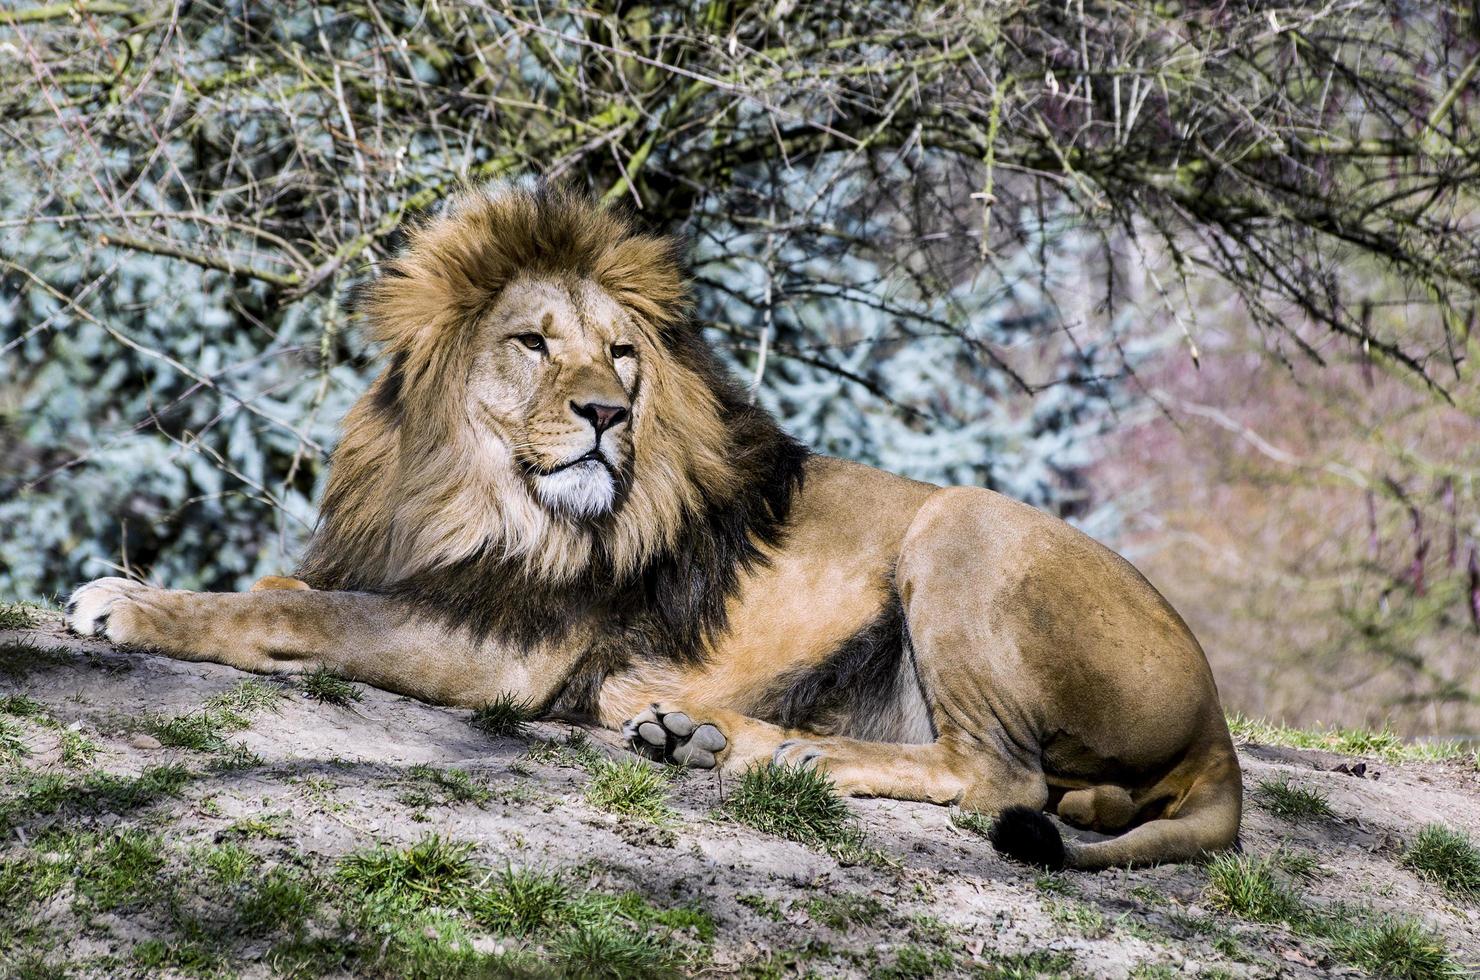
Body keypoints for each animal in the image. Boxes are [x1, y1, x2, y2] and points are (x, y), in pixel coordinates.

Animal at [72, 180, 1249, 870]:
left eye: (623, 353)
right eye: (535, 343)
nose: (604, 414)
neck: (461, 487)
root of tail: (1220, 728)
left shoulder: (503, 644)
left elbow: (300, 619)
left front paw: (127, 600)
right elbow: (295, 590)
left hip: (964, 522)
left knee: (1000, 774)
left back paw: (783, 754)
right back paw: (697, 736)